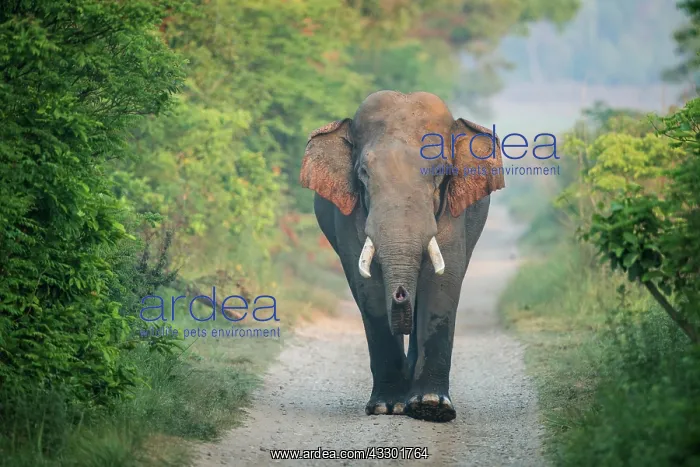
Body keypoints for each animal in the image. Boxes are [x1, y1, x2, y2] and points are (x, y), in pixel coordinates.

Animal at [299, 91, 505, 422]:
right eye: (364, 173)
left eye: (439, 173)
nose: (399, 294)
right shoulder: (352, 214)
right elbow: (367, 287)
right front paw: (387, 407)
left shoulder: (452, 209)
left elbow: (443, 280)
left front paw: (432, 407)